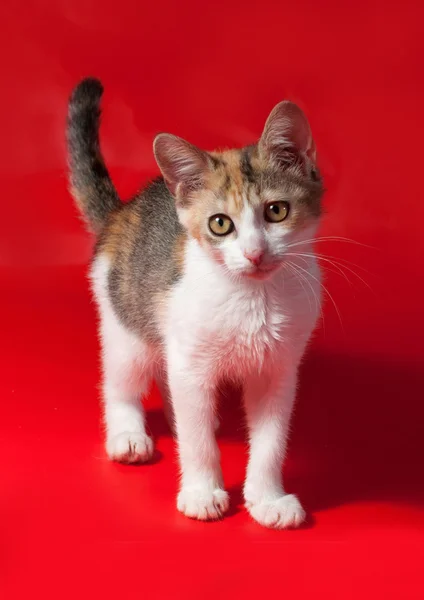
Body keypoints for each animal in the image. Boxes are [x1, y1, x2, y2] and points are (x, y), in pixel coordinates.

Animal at [68, 77, 322, 528]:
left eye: (277, 211)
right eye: (220, 224)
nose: (254, 253)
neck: (252, 299)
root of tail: (122, 212)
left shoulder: (278, 368)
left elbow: (271, 438)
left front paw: (267, 499)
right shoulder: (191, 360)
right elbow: (197, 439)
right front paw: (202, 492)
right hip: (127, 321)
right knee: (122, 379)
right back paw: (127, 433)